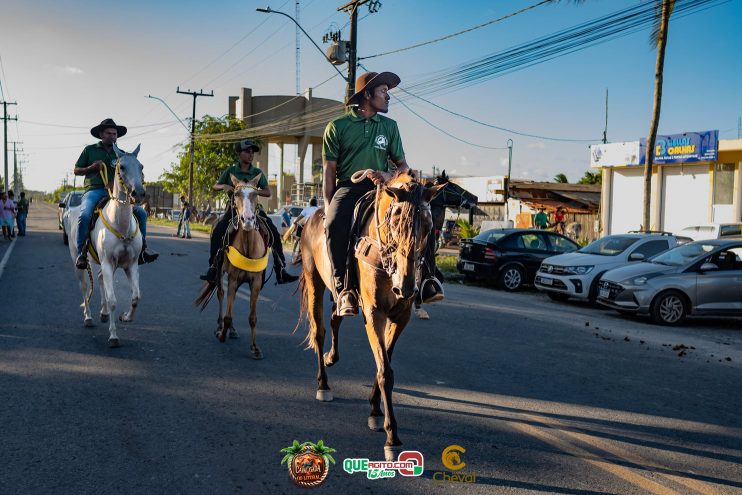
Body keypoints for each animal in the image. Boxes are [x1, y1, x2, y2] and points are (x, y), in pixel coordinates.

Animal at [67, 143, 147, 348]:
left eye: (141, 166)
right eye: (122, 167)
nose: (138, 193)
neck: (121, 224)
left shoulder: (130, 265)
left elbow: (136, 297)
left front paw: (125, 317)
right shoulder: (108, 263)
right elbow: (112, 300)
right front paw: (113, 336)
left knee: (100, 279)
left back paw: (103, 314)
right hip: (80, 261)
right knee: (84, 287)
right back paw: (88, 317)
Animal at [196, 174, 268, 360]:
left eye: (255, 194)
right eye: (236, 194)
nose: (247, 220)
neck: (248, 246)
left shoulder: (256, 282)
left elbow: (252, 317)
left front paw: (255, 348)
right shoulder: (233, 278)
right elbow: (228, 314)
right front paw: (222, 333)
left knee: (232, 298)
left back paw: (233, 330)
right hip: (221, 273)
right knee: (222, 295)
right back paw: (221, 327)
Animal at [300, 170, 444, 462]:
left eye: (428, 226)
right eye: (396, 222)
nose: (407, 286)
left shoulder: (401, 316)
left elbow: (384, 362)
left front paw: (376, 411)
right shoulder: (374, 312)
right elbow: (385, 370)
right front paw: (391, 436)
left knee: (336, 317)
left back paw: (332, 357)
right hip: (314, 280)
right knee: (319, 331)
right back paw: (323, 384)